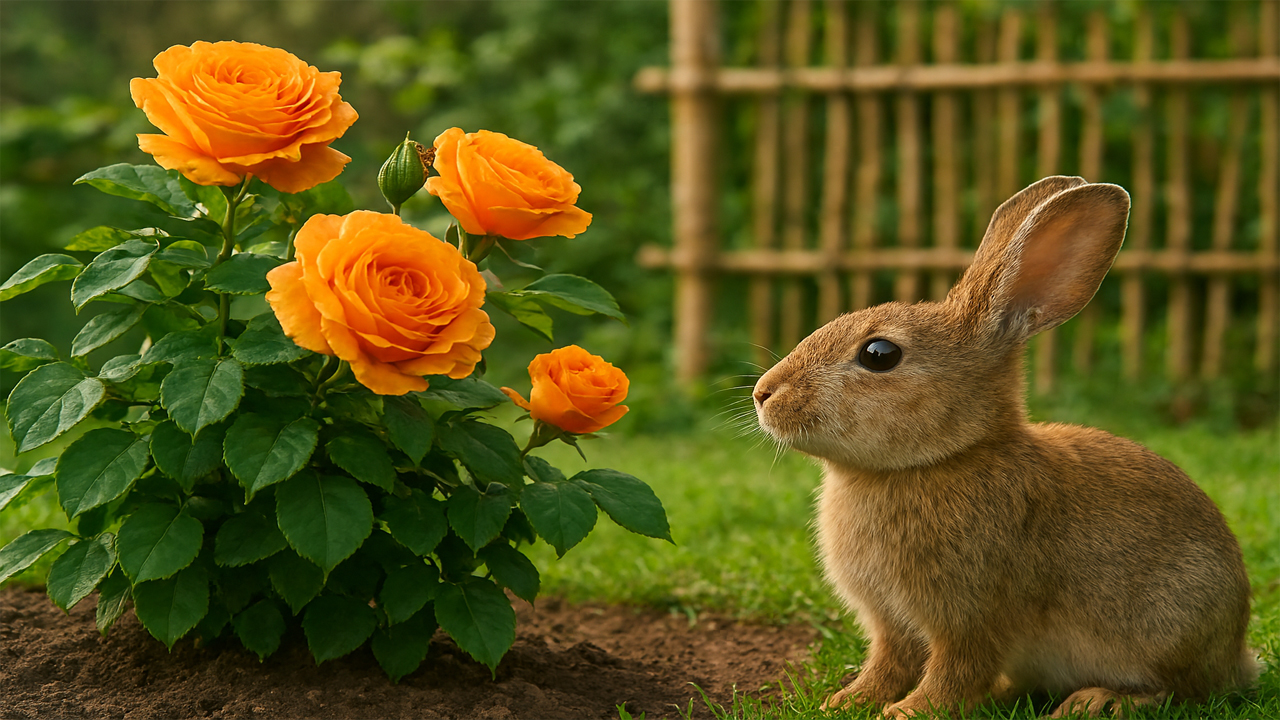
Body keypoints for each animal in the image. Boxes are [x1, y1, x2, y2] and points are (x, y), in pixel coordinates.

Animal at [752, 176, 1259, 719]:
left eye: (879, 354)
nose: (764, 393)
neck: (940, 460)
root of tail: (1236, 658)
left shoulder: (972, 616)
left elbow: (955, 672)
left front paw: (908, 712)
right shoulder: (892, 622)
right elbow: (887, 663)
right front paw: (845, 702)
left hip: (1170, 622)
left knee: (1178, 692)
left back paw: (1094, 702)